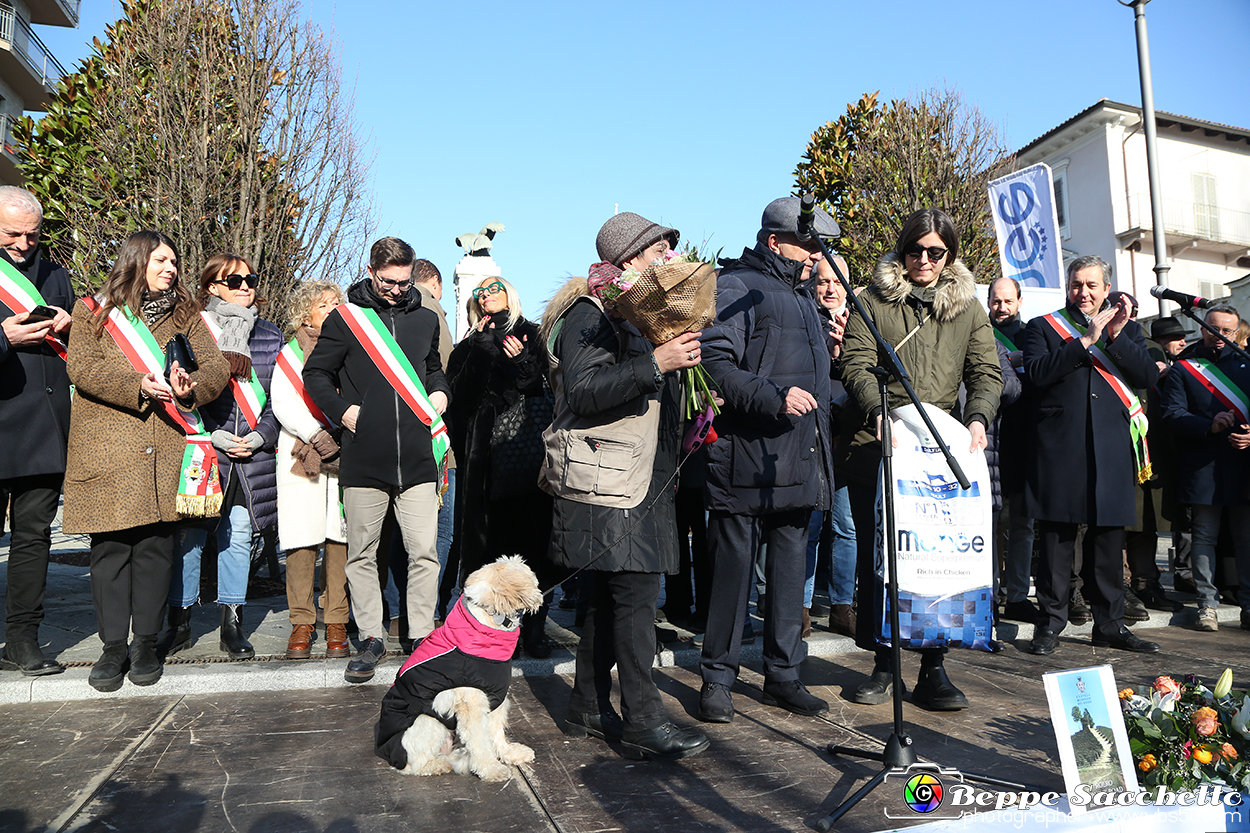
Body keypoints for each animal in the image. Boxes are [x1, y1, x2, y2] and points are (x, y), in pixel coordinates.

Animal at [372, 555, 545, 780]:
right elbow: (480, 740)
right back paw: (436, 765)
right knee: (415, 765)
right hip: (428, 722)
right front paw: (491, 769)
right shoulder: (472, 703)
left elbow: (496, 731)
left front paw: (508, 753)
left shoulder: (495, 697)